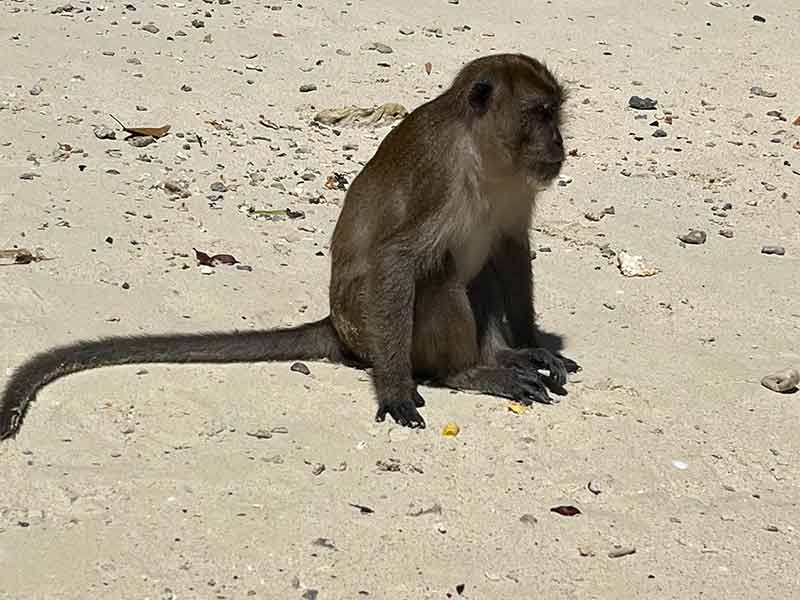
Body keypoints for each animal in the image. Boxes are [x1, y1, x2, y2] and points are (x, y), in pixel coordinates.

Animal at [0, 52, 576, 440]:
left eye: (555, 114)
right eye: (538, 113)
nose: (559, 145)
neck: (487, 156)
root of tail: (336, 326)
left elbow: (510, 249)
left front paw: (532, 345)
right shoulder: (441, 174)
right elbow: (397, 259)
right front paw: (394, 388)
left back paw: (502, 356)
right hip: (367, 328)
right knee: (438, 279)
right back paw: (467, 371)